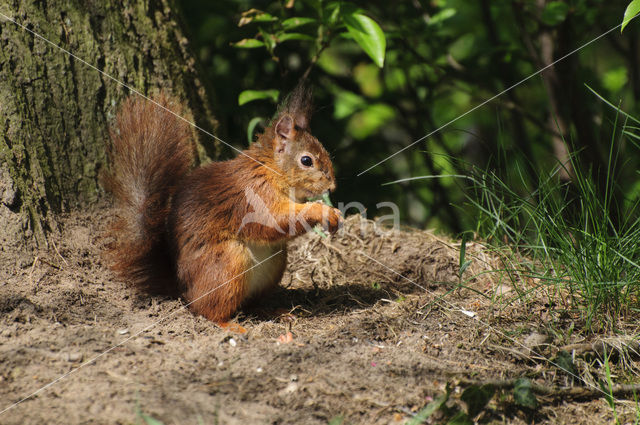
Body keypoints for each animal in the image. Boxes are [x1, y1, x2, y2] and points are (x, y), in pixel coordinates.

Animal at [104, 86, 340, 324]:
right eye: (306, 161)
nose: (332, 187)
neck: (271, 171)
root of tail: (182, 287)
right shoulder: (255, 195)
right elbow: (274, 220)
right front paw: (323, 211)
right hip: (228, 261)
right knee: (206, 310)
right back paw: (230, 325)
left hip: (275, 263)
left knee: (248, 305)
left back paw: (274, 312)